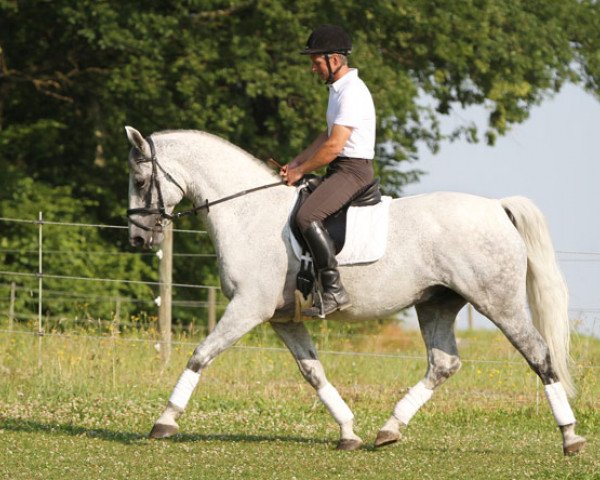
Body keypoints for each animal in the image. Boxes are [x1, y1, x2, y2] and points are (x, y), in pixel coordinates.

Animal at [123, 126, 584, 454]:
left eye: (141, 180)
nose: (138, 239)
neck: (247, 212)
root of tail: (496, 208)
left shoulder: (248, 307)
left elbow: (200, 355)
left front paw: (164, 421)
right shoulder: (281, 319)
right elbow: (313, 372)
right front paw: (347, 431)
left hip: (497, 301)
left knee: (538, 354)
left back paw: (570, 437)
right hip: (436, 303)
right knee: (443, 363)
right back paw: (389, 429)